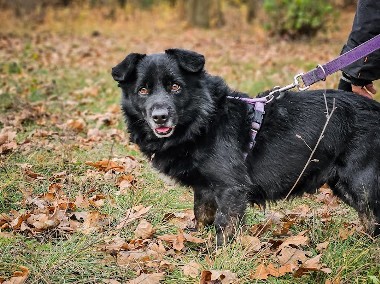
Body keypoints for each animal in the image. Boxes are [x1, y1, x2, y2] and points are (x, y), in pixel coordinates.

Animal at [112, 48, 380, 244]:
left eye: (175, 87)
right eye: (143, 90)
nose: (160, 117)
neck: (204, 119)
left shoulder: (231, 189)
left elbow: (224, 226)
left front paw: (217, 257)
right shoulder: (205, 188)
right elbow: (201, 215)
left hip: (361, 184)